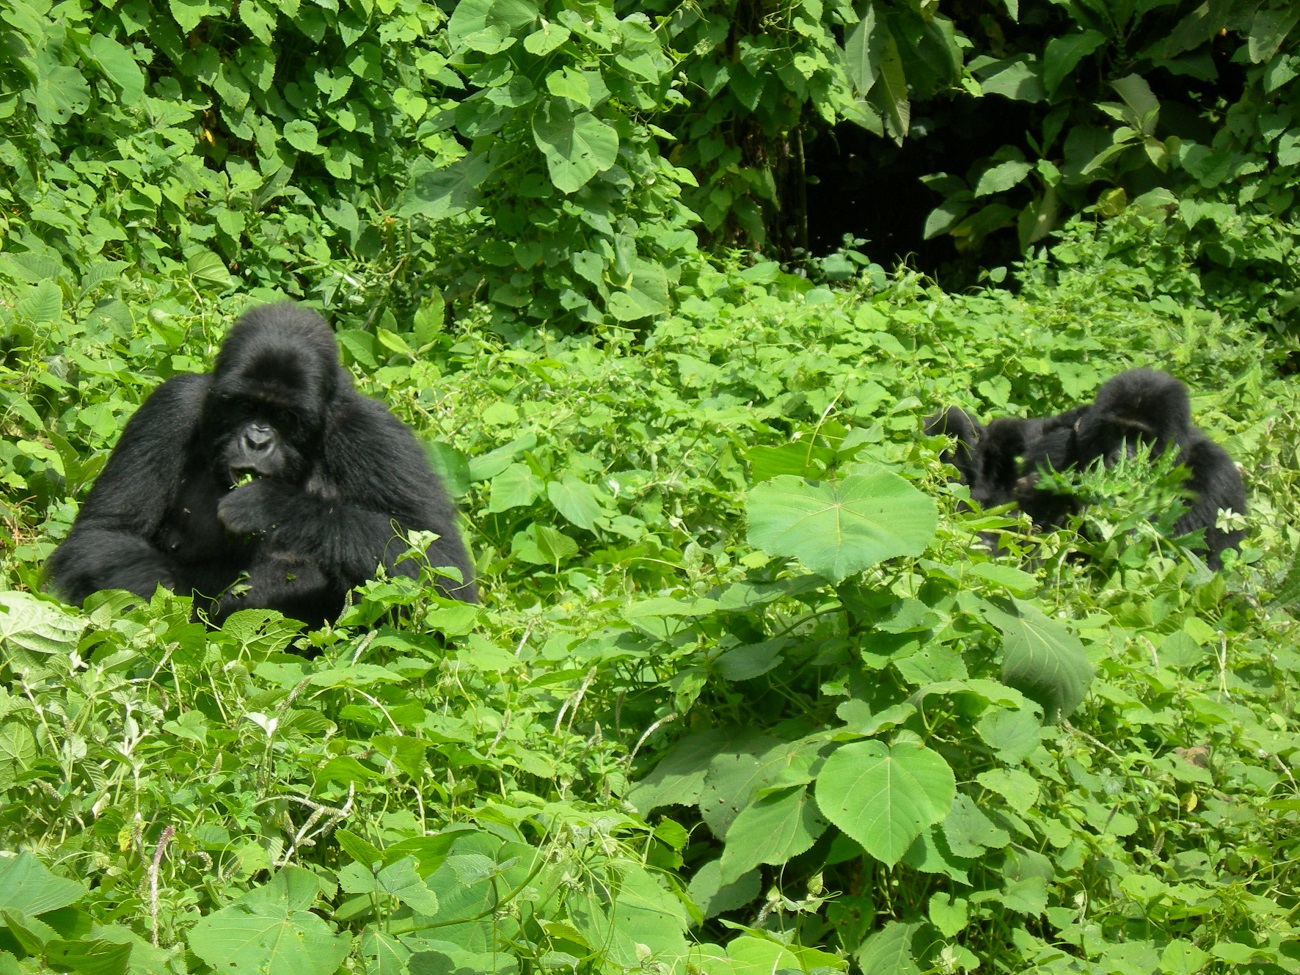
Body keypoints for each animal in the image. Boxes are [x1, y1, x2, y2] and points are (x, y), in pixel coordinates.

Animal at [49, 301, 483, 629]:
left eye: (285, 417)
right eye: (245, 406)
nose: (257, 441)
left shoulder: (375, 434)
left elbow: (442, 569)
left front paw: (271, 507)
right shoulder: (170, 407)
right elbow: (102, 534)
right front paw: (179, 612)